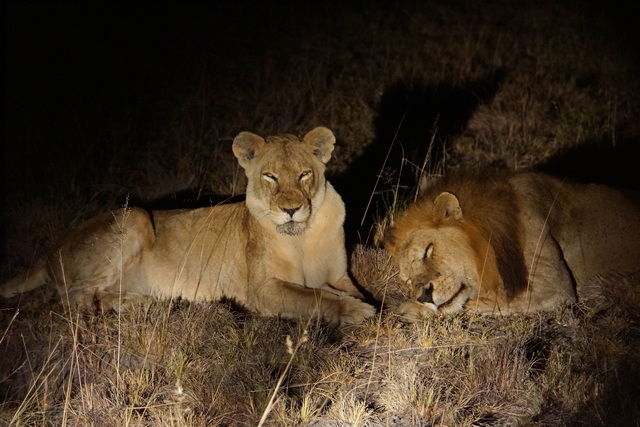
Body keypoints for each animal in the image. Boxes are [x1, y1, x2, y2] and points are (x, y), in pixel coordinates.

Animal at [2, 127, 375, 324]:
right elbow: (312, 298)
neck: (302, 238)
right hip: (135, 215)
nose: (292, 210)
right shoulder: (262, 289)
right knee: (73, 298)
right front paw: (357, 311)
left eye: (304, 174)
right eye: (270, 176)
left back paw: (146, 302)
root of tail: (48, 254)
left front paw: (364, 303)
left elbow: (343, 289)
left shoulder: (340, 274)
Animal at [384, 171, 640, 320]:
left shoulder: (553, 285)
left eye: (428, 250)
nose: (424, 296)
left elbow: (485, 299)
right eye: (407, 280)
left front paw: (409, 309)